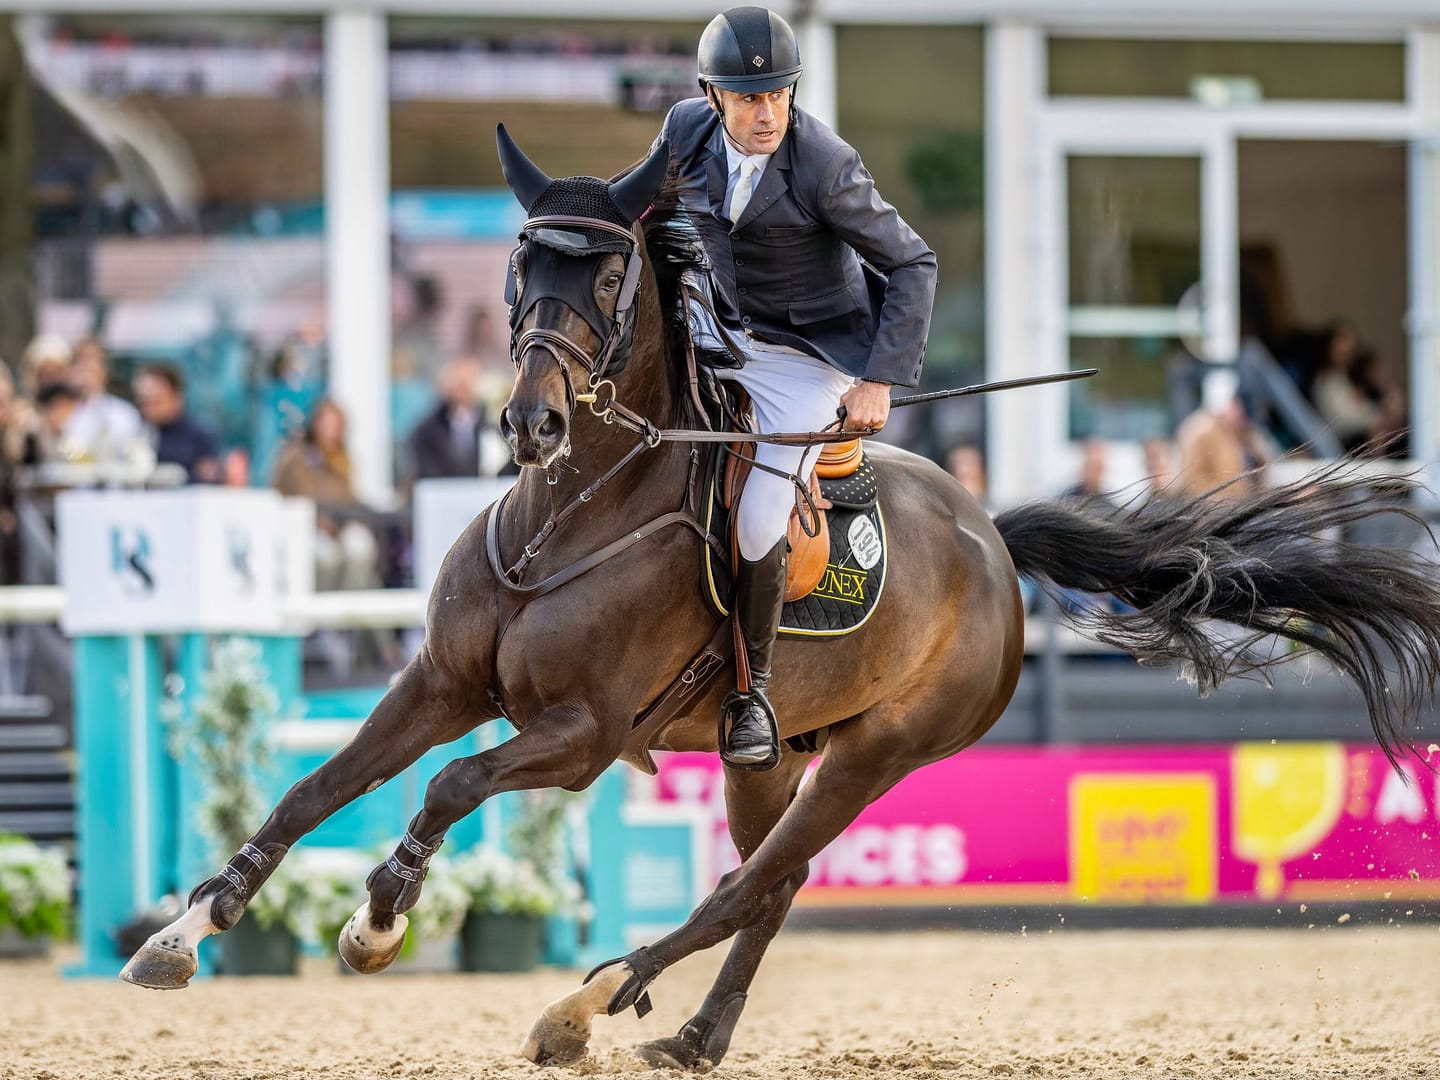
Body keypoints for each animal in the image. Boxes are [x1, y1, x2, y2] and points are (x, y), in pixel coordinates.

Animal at [121, 128, 1440, 1072]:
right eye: (519, 263)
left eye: (610, 267)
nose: (530, 423)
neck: (568, 512)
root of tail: (988, 532)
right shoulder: (442, 680)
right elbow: (315, 788)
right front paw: (188, 932)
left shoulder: (580, 736)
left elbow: (447, 786)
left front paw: (381, 919)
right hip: (767, 753)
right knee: (774, 877)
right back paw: (690, 1035)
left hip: (879, 752)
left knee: (749, 882)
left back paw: (590, 1002)